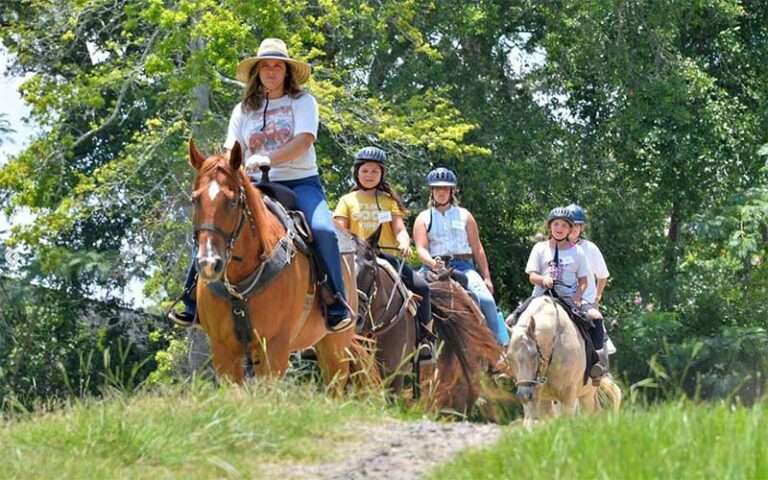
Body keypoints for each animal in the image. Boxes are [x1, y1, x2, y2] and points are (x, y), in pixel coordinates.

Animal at [189, 139, 364, 386]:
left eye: (232, 201)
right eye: (195, 199)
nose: (208, 263)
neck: (238, 287)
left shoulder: (275, 347)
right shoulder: (222, 350)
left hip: (336, 346)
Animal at [508, 294, 620, 426]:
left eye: (534, 354)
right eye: (509, 358)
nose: (523, 396)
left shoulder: (568, 397)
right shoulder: (542, 399)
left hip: (587, 393)